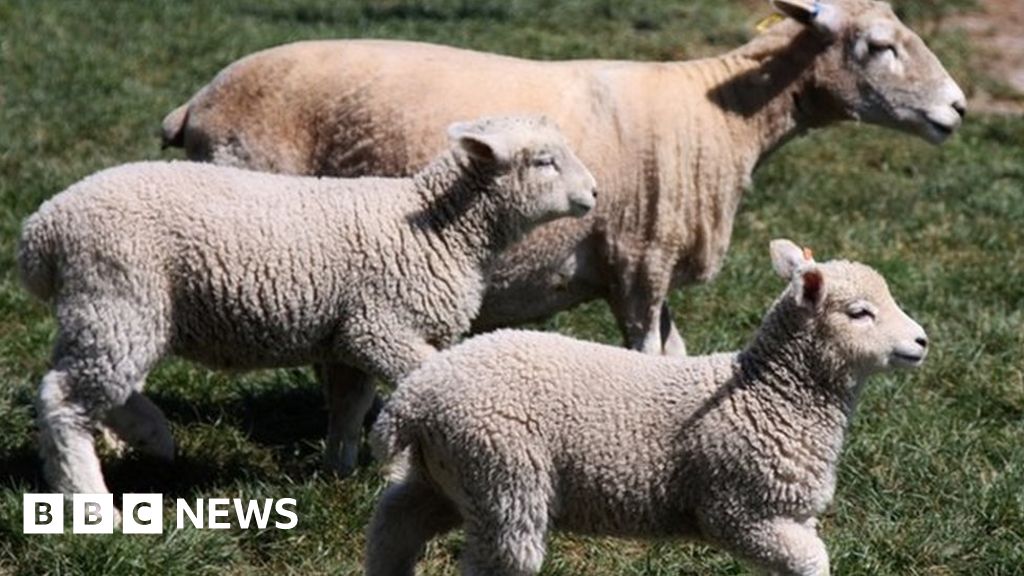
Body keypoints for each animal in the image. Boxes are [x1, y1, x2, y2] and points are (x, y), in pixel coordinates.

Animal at [17, 115, 598, 495]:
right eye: (544, 162)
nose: (594, 193)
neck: (438, 227)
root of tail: (42, 230)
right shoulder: (379, 326)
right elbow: (418, 381)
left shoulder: (347, 338)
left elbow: (348, 408)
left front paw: (341, 472)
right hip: (119, 296)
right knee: (64, 397)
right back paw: (91, 497)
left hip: (106, 310)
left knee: (89, 381)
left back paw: (149, 435)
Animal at [161, 0, 965, 357]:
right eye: (879, 45)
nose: (958, 108)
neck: (721, 116)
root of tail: (195, 103)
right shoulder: (640, 260)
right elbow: (646, 354)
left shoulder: (646, 267)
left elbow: (672, 351)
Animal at [366, 239, 929, 576]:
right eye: (860, 313)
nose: (922, 340)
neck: (769, 393)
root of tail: (416, 396)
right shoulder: (739, 512)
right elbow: (814, 560)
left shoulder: (787, 514)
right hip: (503, 478)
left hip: (450, 476)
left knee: (394, 527)